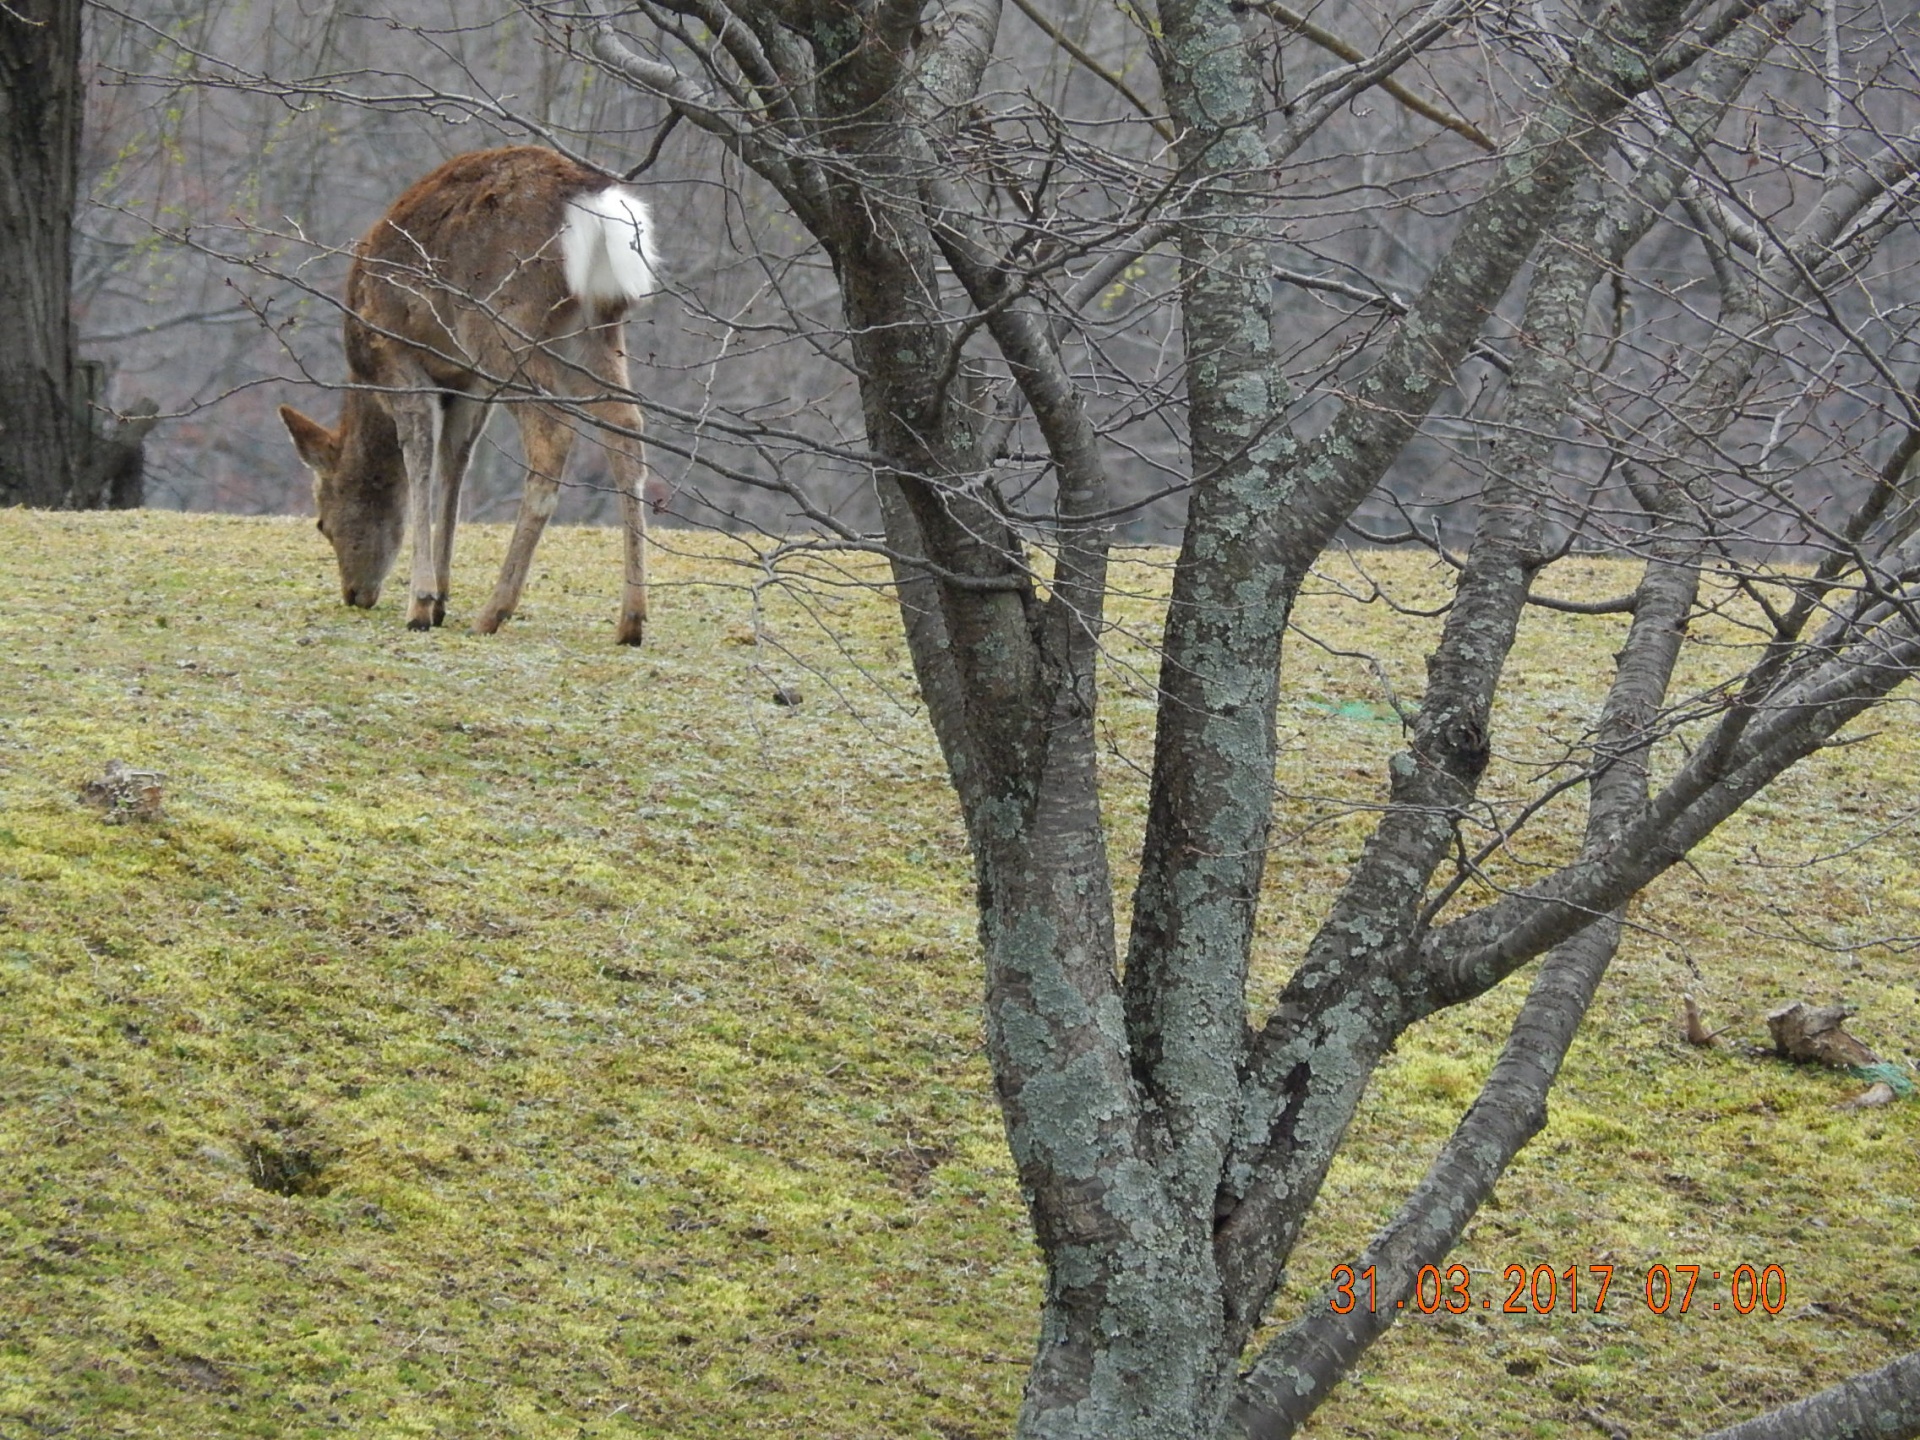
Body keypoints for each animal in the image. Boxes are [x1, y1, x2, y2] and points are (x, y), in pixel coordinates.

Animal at [280, 144, 660, 641]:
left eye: (322, 523)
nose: (354, 594)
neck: (366, 379)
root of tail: (594, 200)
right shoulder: (466, 382)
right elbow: (455, 463)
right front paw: (441, 597)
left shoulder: (399, 358)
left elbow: (420, 456)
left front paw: (421, 603)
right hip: (593, 326)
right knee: (625, 426)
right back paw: (631, 619)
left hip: (500, 322)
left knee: (554, 435)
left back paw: (494, 611)